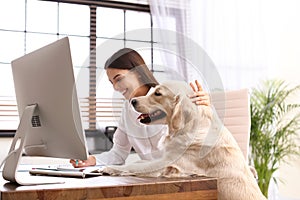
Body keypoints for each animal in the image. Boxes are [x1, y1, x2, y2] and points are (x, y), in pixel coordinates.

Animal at [102, 80, 264, 199]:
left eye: (158, 93)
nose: (133, 101)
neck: (186, 128)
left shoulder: (166, 163)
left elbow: (133, 167)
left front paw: (109, 169)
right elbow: (138, 162)